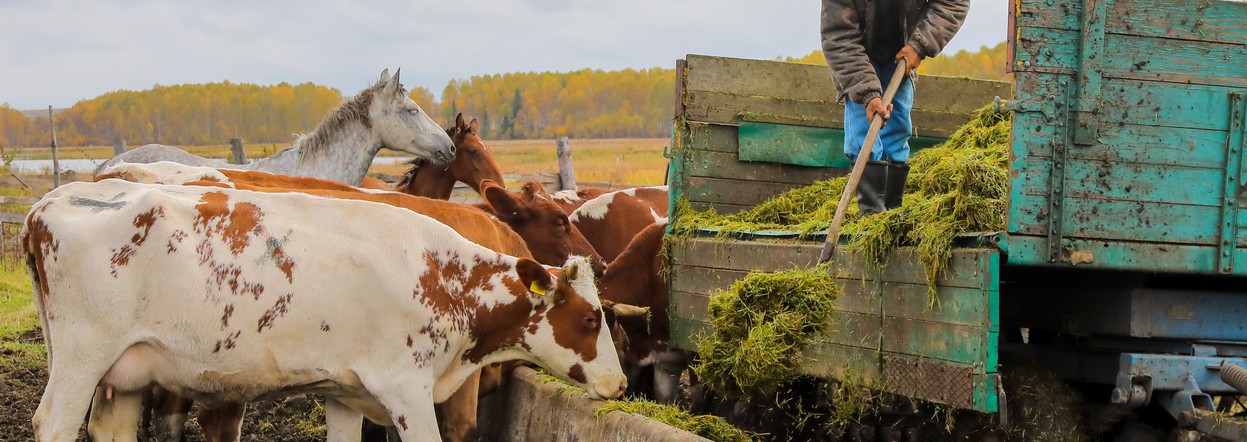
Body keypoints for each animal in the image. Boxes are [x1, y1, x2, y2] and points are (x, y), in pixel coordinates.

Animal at [20, 179, 623, 442]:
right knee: (55, 423)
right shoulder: (406, 388)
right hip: (81, 360)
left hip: (123, 373)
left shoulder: (344, 389)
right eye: (591, 320)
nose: (618, 384)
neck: (442, 274)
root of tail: (53, 200)